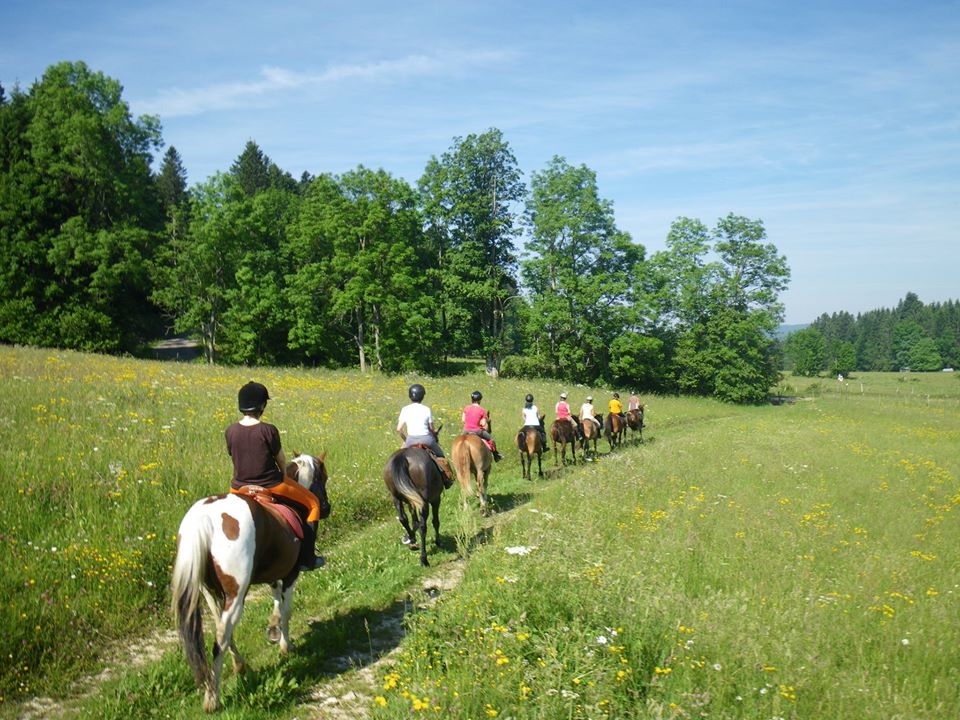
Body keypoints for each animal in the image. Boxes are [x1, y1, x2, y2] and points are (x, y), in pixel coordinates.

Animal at [172, 452, 334, 712]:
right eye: (323, 477)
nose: (326, 508)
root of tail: (204, 518)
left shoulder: (273, 572)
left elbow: (276, 598)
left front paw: (273, 629)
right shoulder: (291, 574)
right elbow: (286, 610)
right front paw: (285, 646)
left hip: (209, 592)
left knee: (221, 628)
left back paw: (239, 666)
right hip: (237, 593)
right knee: (221, 637)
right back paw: (212, 698)